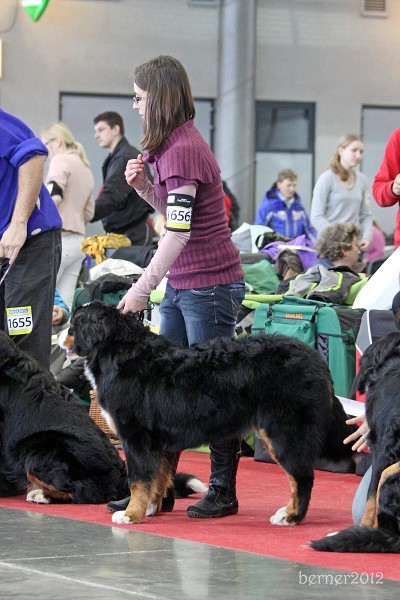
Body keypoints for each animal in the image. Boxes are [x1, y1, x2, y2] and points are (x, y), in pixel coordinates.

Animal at [65, 302, 356, 524]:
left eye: (73, 325)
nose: (60, 337)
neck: (118, 352)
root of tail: (314, 357)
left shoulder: (136, 437)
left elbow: (138, 480)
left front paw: (131, 513)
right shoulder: (158, 442)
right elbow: (159, 477)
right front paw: (150, 508)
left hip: (283, 432)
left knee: (302, 477)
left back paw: (291, 515)